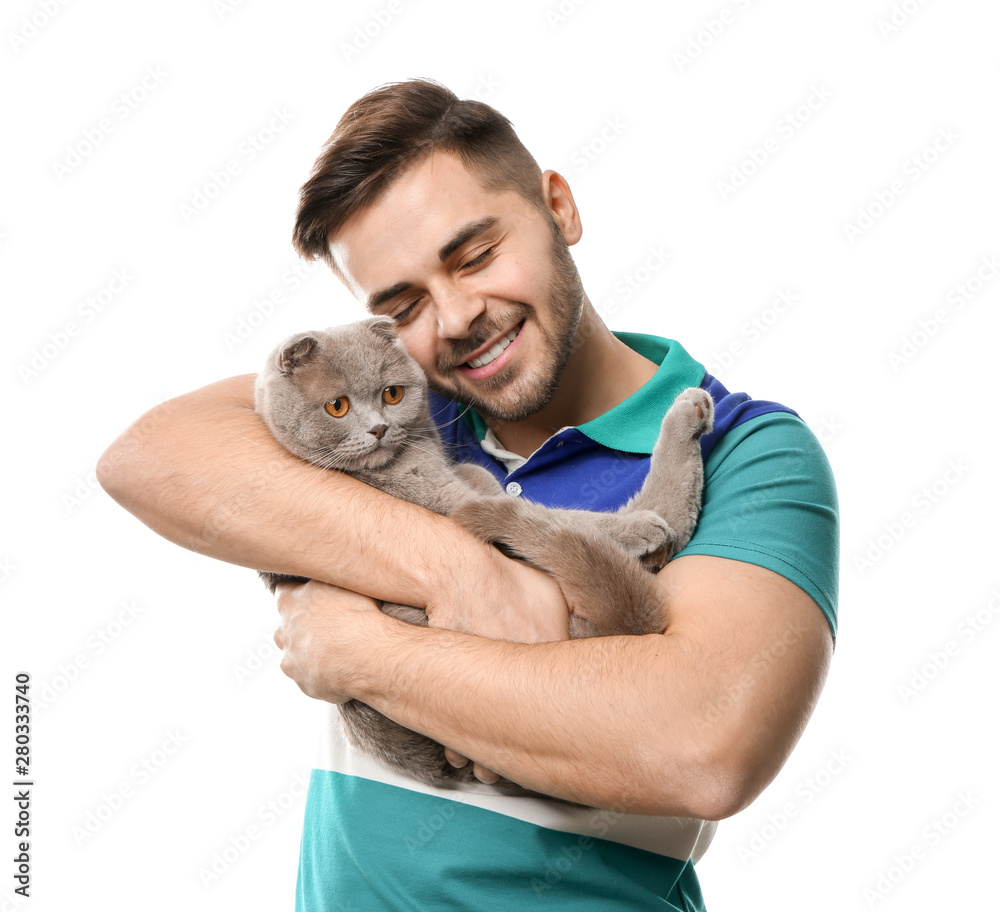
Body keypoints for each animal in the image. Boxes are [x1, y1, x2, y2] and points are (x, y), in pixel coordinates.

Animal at [256, 316, 712, 792]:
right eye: (337, 407)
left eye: (392, 394)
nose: (378, 429)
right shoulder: (445, 503)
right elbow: (567, 518)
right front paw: (637, 530)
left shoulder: (462, 480)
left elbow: (497, 485)